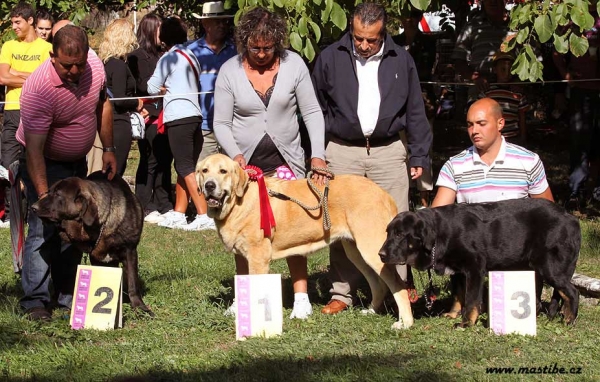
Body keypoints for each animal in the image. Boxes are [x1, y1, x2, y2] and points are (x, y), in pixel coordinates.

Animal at [30, 172, 154, 314]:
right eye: (48, 192)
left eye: (58, 194)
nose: (33, 207)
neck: (103, 225)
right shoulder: (97, 258)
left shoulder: (130, 252)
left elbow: (133, 283)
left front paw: (140, 307)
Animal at [197, 154, 418, 330]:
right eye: (204, 171)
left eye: (223, 171)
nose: (209, 185)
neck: (238, 202)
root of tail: (383, 193)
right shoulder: (242, 256)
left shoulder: (258, 258)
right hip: (356, 251)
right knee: (377, 283)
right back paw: (371, 311)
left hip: (372, 249)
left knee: (397, 285)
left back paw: (406, 322)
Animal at [380, 197, 580, 328]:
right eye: (387, 233)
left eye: (399, 234)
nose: (380, 254)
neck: (440, 236)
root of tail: (572, 219)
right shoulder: (458, 273)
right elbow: (458, 296)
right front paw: (453, 314)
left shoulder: (474, 268)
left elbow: (471, 299)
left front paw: (466, 323)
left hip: (549, 267)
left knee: (572, 292)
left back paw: (569, 319)